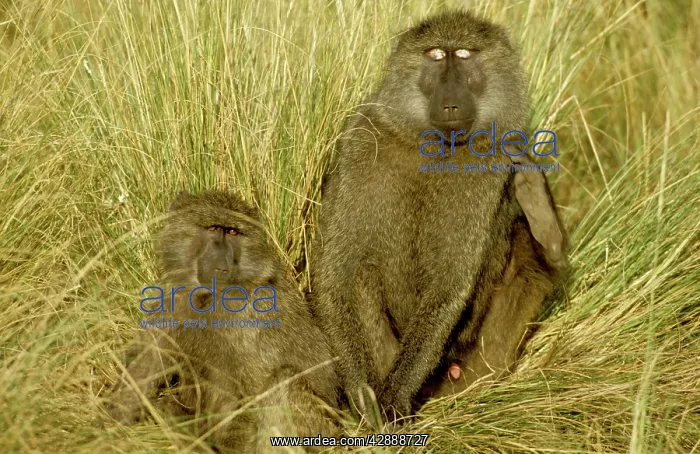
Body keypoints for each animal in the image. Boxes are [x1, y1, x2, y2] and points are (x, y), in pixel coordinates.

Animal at [107, 190, 341, 453]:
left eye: (232, 232)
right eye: (213, 228)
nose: (222, 264)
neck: (208, 297)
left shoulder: (251, 317)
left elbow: (255, 388)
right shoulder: (170, 302)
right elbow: (142, 372)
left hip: (321, 432)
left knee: (284, 382)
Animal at [311, 10, 533, 424]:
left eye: (464, 55)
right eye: (435, 55)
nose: (450, 103)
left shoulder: (491, 161)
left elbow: (449, 282)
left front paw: (394, 399)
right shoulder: (363, 139)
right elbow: (337, 275)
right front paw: (364, 398)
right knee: (363, 272)